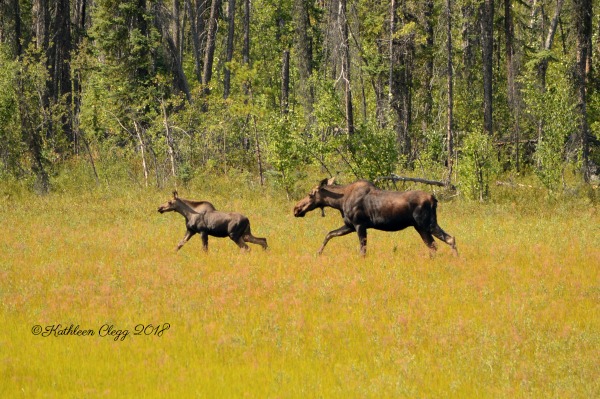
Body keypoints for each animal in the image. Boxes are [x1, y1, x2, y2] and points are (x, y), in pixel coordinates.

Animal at [292, 178, 458, 256]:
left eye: (310, 194)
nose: (296, 209)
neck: (339, 202)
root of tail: (434, 199)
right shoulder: (350, 225)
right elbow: (329, 234)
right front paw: (318, 252)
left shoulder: (359, 224)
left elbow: (362, 249)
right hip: (420, 227)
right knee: (433, 245)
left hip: (427, 223)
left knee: (449, 238)